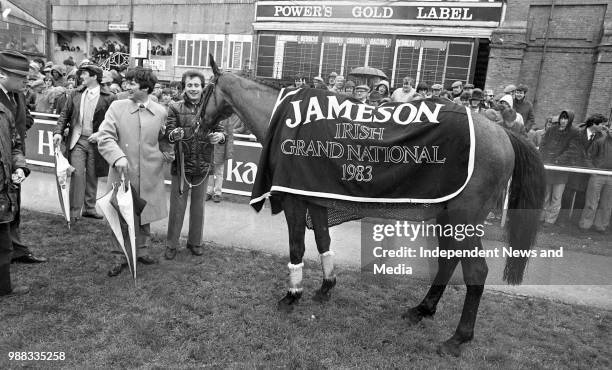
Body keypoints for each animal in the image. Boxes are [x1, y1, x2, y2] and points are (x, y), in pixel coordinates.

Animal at [201, 56, 544, 356]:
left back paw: (458, 338)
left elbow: (297, 247)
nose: (197, 124)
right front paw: (326, 287)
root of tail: (503, 132)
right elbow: (323, 241)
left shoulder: (295, 199)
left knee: (477, 272)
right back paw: (422, 309)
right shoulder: (315, 196)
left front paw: (292, 295)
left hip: (464, 219)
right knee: (448, 263)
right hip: (447, 217)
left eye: (203, 90)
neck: (284, 118)